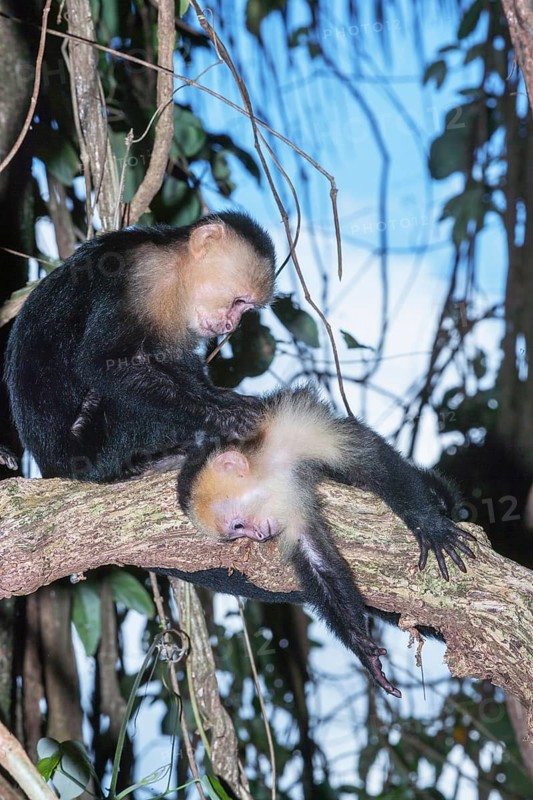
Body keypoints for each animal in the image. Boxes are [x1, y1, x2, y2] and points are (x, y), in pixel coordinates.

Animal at [4, 212, 276, 482]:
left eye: (245, 308)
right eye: (238, 301)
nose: (231, 324)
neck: (175, 270)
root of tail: (50, 465)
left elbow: (174, 363)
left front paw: (224, 398)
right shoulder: (143, 278)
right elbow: (102, 364)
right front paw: (223, 417)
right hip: (85, 447)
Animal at [177, 385, 476, 697]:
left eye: (238, 524)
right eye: (237, 532)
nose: (257, 536)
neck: (272, 474)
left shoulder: (291, 431)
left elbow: (370, 460)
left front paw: (428, 525)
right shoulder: (287, 512)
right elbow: (319, 563)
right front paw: (362, 649)